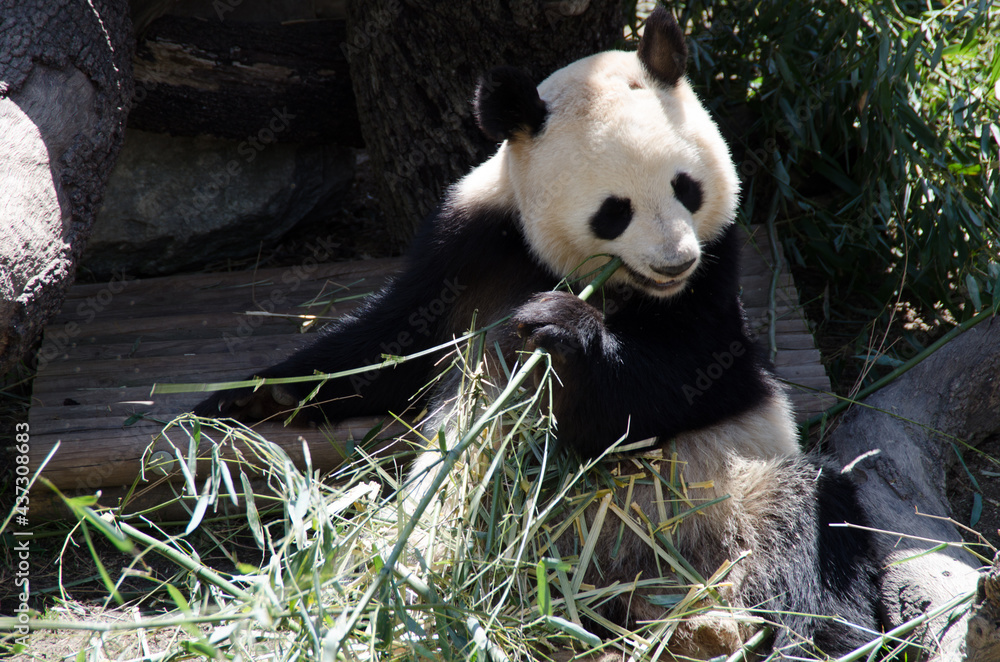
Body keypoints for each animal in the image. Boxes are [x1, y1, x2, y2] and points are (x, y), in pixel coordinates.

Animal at [195, 7, 881, 659]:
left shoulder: (716, 272)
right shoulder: (467, 246)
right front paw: (250, 399)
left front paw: (561, 329)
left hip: (729, 492)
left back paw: (814, 641)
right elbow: (392, 345)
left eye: (687, 187)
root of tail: (641, 587)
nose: (675, 261)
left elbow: (688, 377)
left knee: (813, 525)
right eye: (614, 211)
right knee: (421, 553)